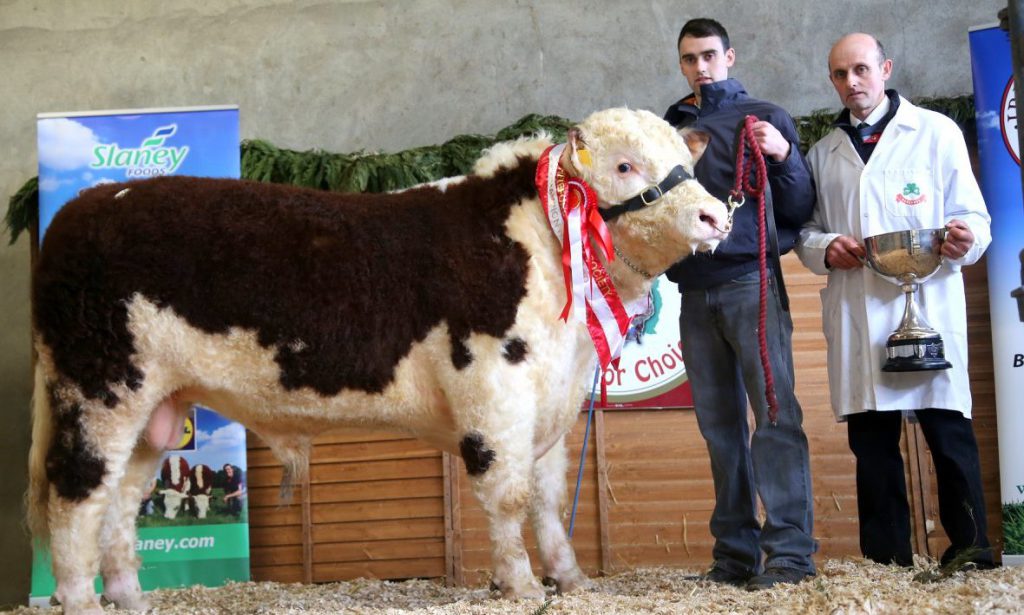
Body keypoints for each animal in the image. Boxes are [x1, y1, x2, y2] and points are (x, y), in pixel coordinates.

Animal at [27, 107, 730, 614]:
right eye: (624, 165)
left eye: (681, 158)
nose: (713, 215)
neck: (539, 245)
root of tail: (80, 209)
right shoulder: (495, 387)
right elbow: (508, 495)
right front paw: (522, 586)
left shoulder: (553, 398)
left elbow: (549, 500)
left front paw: (571, 579)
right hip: (98, 387)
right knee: (76, 491)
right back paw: (80, 601)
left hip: (157, 408)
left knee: (123, 499)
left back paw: (128, 598)